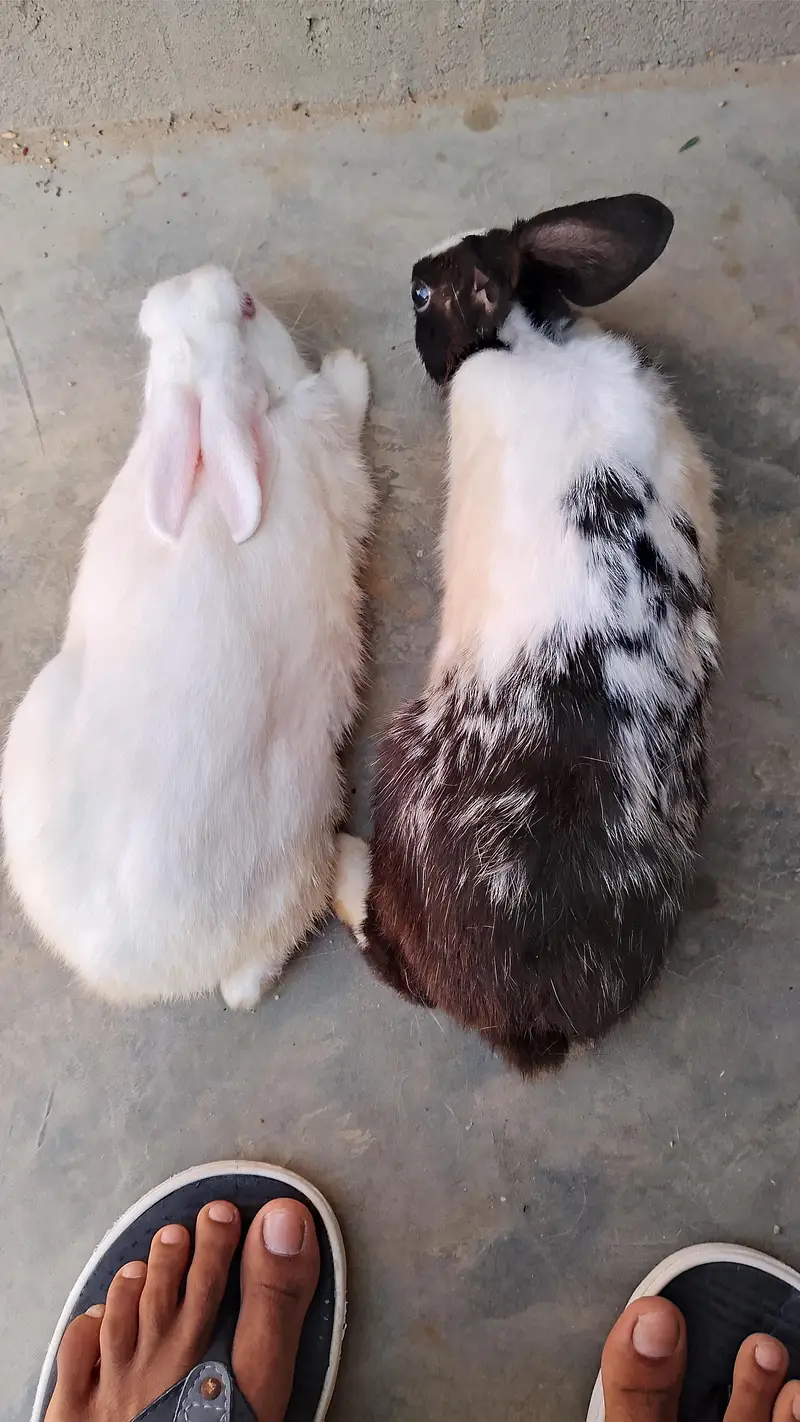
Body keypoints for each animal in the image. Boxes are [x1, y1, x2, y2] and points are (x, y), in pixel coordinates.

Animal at [2, 264, 375, 1009]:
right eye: (250, 307)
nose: (204, 274)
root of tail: (154, 972)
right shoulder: (329, 445)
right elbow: (343, 412)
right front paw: (351, 367)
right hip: (306, 817)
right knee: (254, 981)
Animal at [335, 195, 718, 1073]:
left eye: (423, 295)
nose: (408, 278)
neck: (530, 338)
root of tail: (526, 1018)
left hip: (400, 769)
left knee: (376, 933)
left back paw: (338, 857)